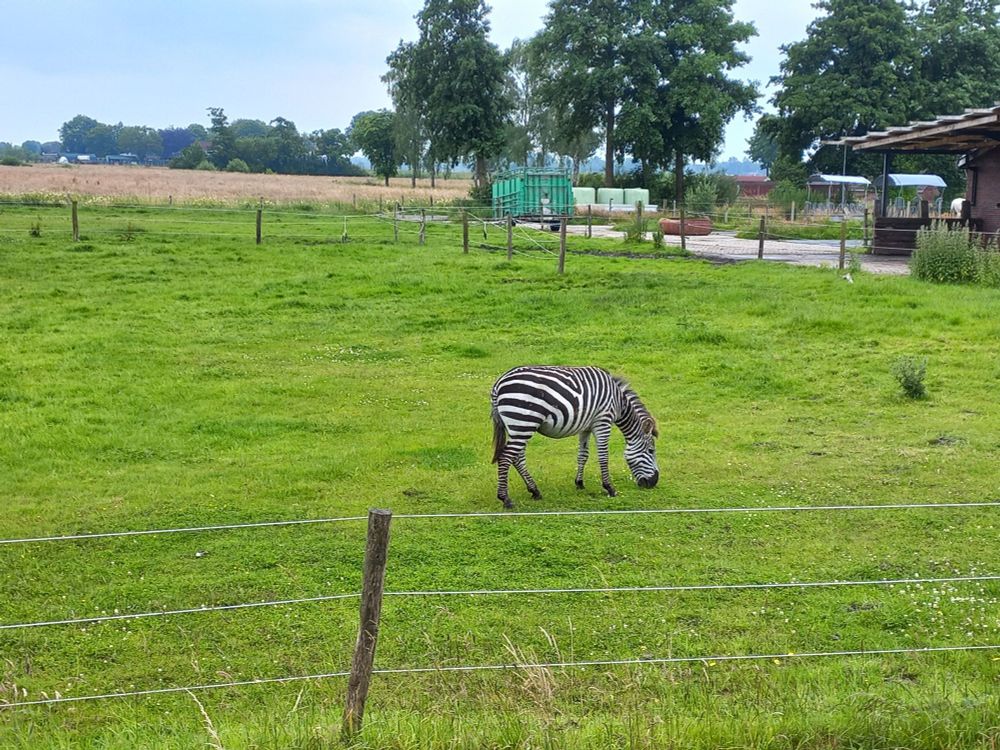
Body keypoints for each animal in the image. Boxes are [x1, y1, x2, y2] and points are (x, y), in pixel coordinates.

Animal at [490, 366, 659, 508]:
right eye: (651, 451)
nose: (653, 483)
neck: (618, 401)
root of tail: (499, 383)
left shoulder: (586, 427)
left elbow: (583, 455)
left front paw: (579, 483)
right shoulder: (603, 421)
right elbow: (603, 456)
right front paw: (610, 488)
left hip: (519, 426)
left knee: (517, 458)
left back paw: (535, 491)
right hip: (523, 422)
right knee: (506, 457)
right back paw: (505, 499)